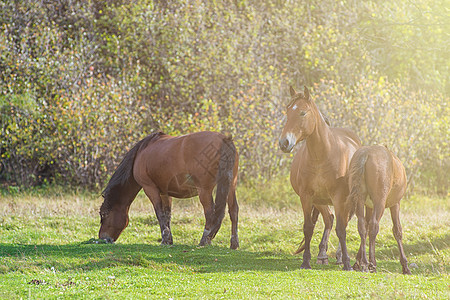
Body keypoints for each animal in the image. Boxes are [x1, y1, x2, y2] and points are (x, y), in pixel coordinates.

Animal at [98, 130, 239, 250]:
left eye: (104, 214)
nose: (103, 239)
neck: (141, 152)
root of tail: (224, 139)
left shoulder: (150, 189)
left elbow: (159, 213)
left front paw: (164, 239)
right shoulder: (165, 193)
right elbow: (167, 215)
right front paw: (169, 240)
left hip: (204, 190)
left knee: (210, 213)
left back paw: (204, 240)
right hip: (231, 186)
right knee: (233, 211)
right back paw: (234, 243)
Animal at [278, 85, 362, 270]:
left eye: (302, 112)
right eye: (287, 111)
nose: (284, 143)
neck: (322, 156)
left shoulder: (338, 198)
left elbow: (341, 229)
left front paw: (347, 263)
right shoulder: (306, 197)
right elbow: (308, 228)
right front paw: (306, 261)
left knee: (342, 222)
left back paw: (339, 256)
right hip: (320, 201)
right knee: (329, 219)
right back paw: (322, 255)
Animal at [346, 145, 414, 274]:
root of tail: (366, 154)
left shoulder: (368, 206)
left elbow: (365, 228)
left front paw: (358, 262)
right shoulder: (395, 204)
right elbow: (397, 230)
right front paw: (405, 265)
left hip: (360, 200)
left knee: (362, 226)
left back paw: (365, 263)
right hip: (380, 203)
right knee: (374, 226)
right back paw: (372, 263)